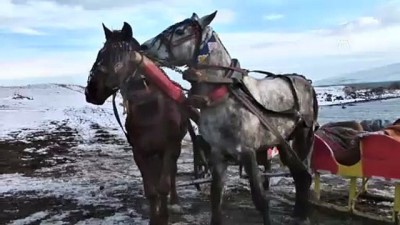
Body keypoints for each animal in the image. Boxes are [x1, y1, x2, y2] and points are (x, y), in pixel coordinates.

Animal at [141, 10, 318, 223]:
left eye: (180, 31)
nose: (143, 46)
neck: (222, 97)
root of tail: (306, 82)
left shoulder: (248, 152)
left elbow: (260, 199)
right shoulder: (218, 154)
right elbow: (216, 198)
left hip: (304, 137)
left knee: (305, 175)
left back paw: (303, 215)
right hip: (283, 142)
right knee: (300, 175)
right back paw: (299, 213)